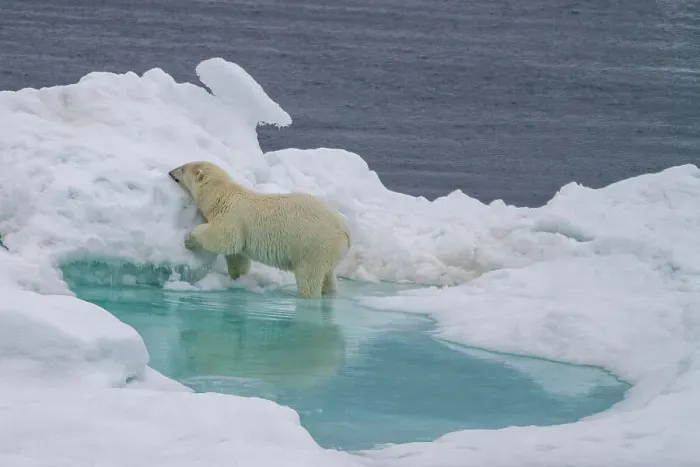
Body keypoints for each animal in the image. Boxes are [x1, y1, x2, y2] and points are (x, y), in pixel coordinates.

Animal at [168, 161, 351, 298]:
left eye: (182, 168)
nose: (170, 172)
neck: (222, 196)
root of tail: (345, 231)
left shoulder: (232, 216)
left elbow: (225, 239)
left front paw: (189, 239)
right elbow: (237, 255)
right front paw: (237, 278)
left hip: (314, 247)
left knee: (309, 277)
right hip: (328, 252)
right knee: (328, 276)